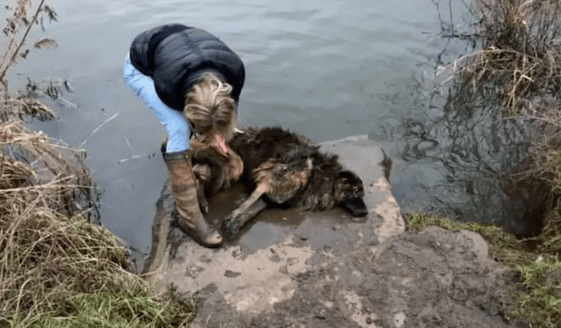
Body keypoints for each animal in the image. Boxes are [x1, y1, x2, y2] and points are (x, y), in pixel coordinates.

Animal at [190, 127, 370, 240]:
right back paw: (201, 200)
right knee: (197, 176)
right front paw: (232, 218)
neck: (321, 175)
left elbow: (253, 209)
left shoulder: (269, 195)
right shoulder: (270, 174)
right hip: (232, 164)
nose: (365, 212)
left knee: (199, 175)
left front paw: (236, 222)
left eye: (361, 194)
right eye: (356, 192)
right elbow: (251, 200)